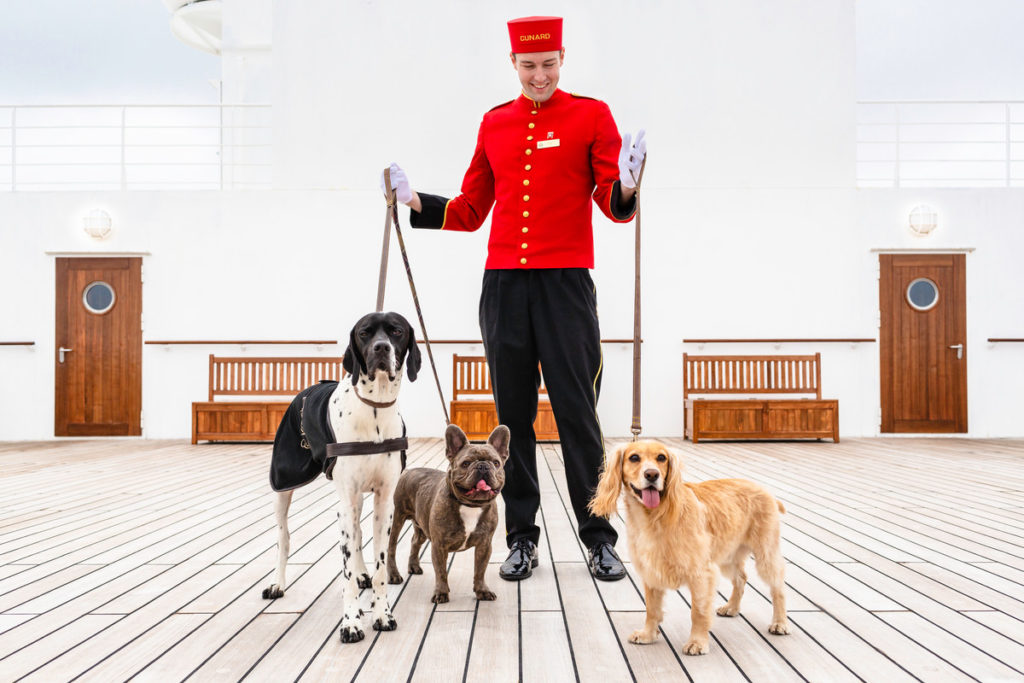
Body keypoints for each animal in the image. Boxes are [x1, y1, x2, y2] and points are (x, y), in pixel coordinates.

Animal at [266, 313, 425, 643]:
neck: (374, 408)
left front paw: (382, 613)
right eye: (365, 333)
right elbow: (346, 574)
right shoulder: (346, 500)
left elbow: (380, 565)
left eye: (397, 331)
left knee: (359, 534)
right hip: (284, 482)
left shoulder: (383, 501)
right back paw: (278, 583)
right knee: (283, 537)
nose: (381, 348)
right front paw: (351, 622)